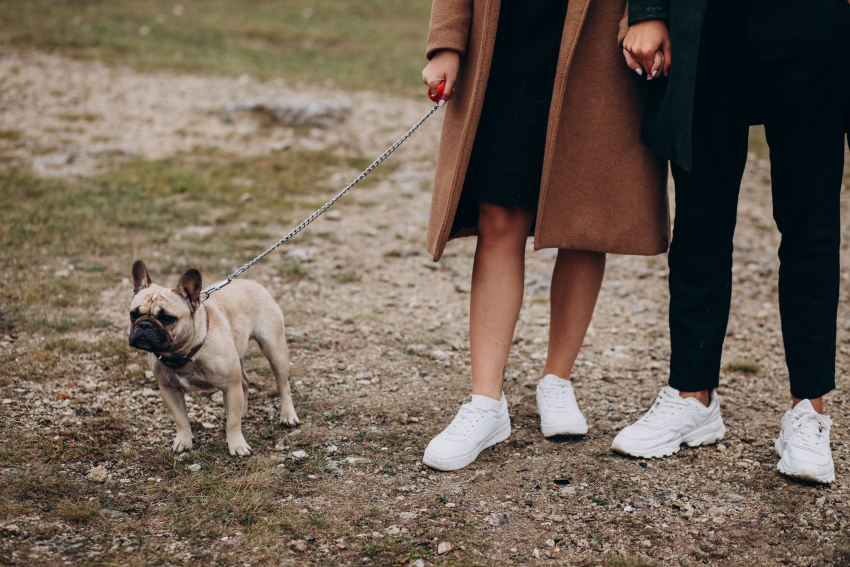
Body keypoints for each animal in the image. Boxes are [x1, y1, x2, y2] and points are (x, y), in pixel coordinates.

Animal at [126, 260, 298, 458]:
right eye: (133, 315)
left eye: (167, 318)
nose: (145, 325)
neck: (183, 353)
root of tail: (251, 282)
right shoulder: (169, 389)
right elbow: (180, 419)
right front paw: (184, 441)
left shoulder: (230, 386)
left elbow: (232, 423)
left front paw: (237, 445)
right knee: (245, 382)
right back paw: (242, 411)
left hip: (274, 349)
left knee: (283, 385)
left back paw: (288, 416)